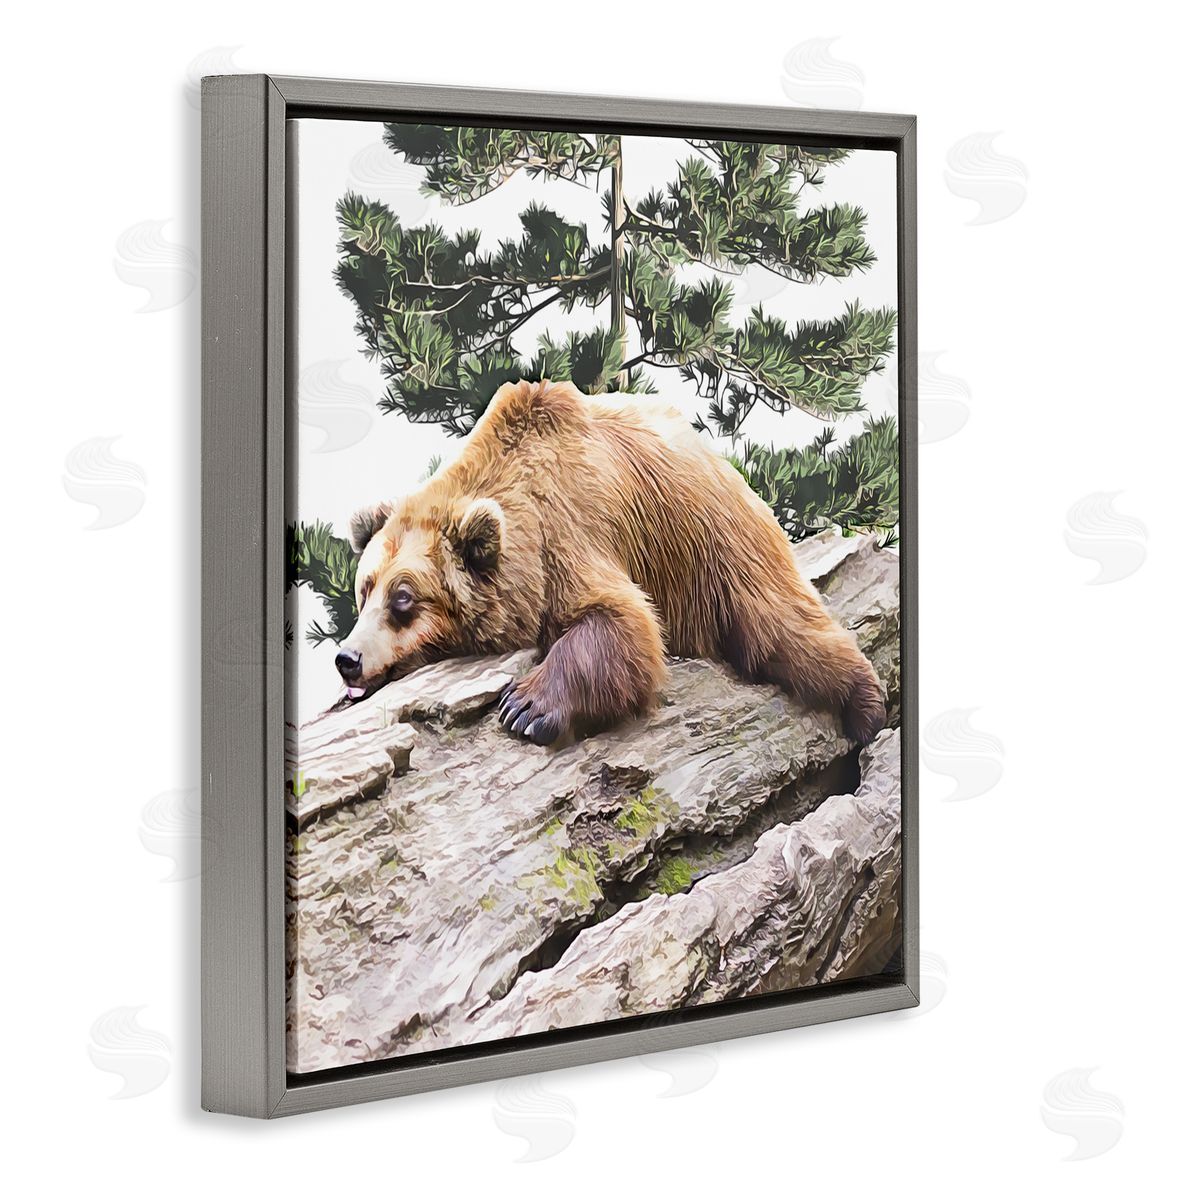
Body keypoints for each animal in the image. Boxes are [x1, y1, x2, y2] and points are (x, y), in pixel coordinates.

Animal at [335, 379, 886, 747]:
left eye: (403, 598)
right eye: (364, 589)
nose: (347, 658)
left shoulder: (569, 528)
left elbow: (622, 623)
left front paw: (525, 707)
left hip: (717, 541)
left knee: (782, 627)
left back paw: (867, 706)